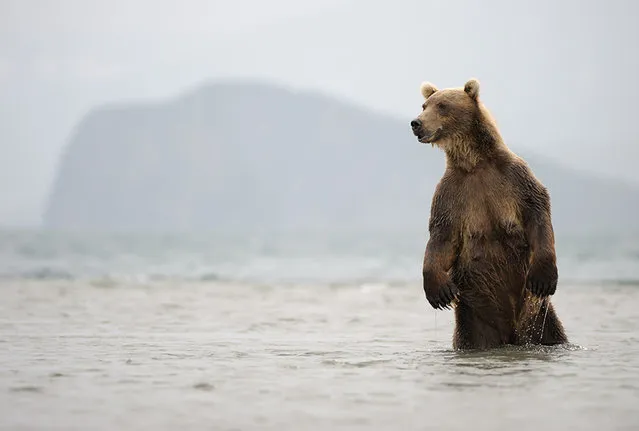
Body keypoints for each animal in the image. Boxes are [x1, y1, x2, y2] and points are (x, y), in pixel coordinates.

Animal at [412, 78, 568, 352]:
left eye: (442, 105)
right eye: (424, 105)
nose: (416, 123)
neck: (474, 163)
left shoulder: (514, 178)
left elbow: (537, 211)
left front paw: (543, 277)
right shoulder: (452, 193)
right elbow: (442, 237)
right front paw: (439, 291)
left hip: (540, 319)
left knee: (553, 334)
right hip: (474, 321)